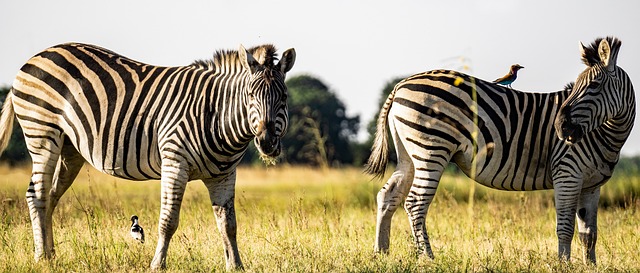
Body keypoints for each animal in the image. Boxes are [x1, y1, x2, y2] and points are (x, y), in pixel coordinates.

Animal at [0, 42, 296, 268]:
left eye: (284, 97)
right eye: (250, 96)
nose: (267, 143)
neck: (215, 115)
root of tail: (35, 57)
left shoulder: (223, 175)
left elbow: (228, 225)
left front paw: (236, 266)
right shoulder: (174, 163)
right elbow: (168, 221)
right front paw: (157, 264)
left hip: (69, 150)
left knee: (50, 196)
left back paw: (51, 255)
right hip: (42, 134)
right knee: (37, 196)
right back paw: (40, 258)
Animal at [364, 36, 636, 264]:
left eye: (595, 85)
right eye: (576, 86)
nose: (560, 127)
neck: (607, 134)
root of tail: (401, 84)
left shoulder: (591, 185)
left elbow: (589, 233)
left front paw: (591, 266)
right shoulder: (567, 174)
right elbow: (566, 227)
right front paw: (564, 265)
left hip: (409, 155)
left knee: (388, 196)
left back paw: (381, 253)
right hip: (431, 149)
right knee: (416, 202)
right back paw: (428, 258)